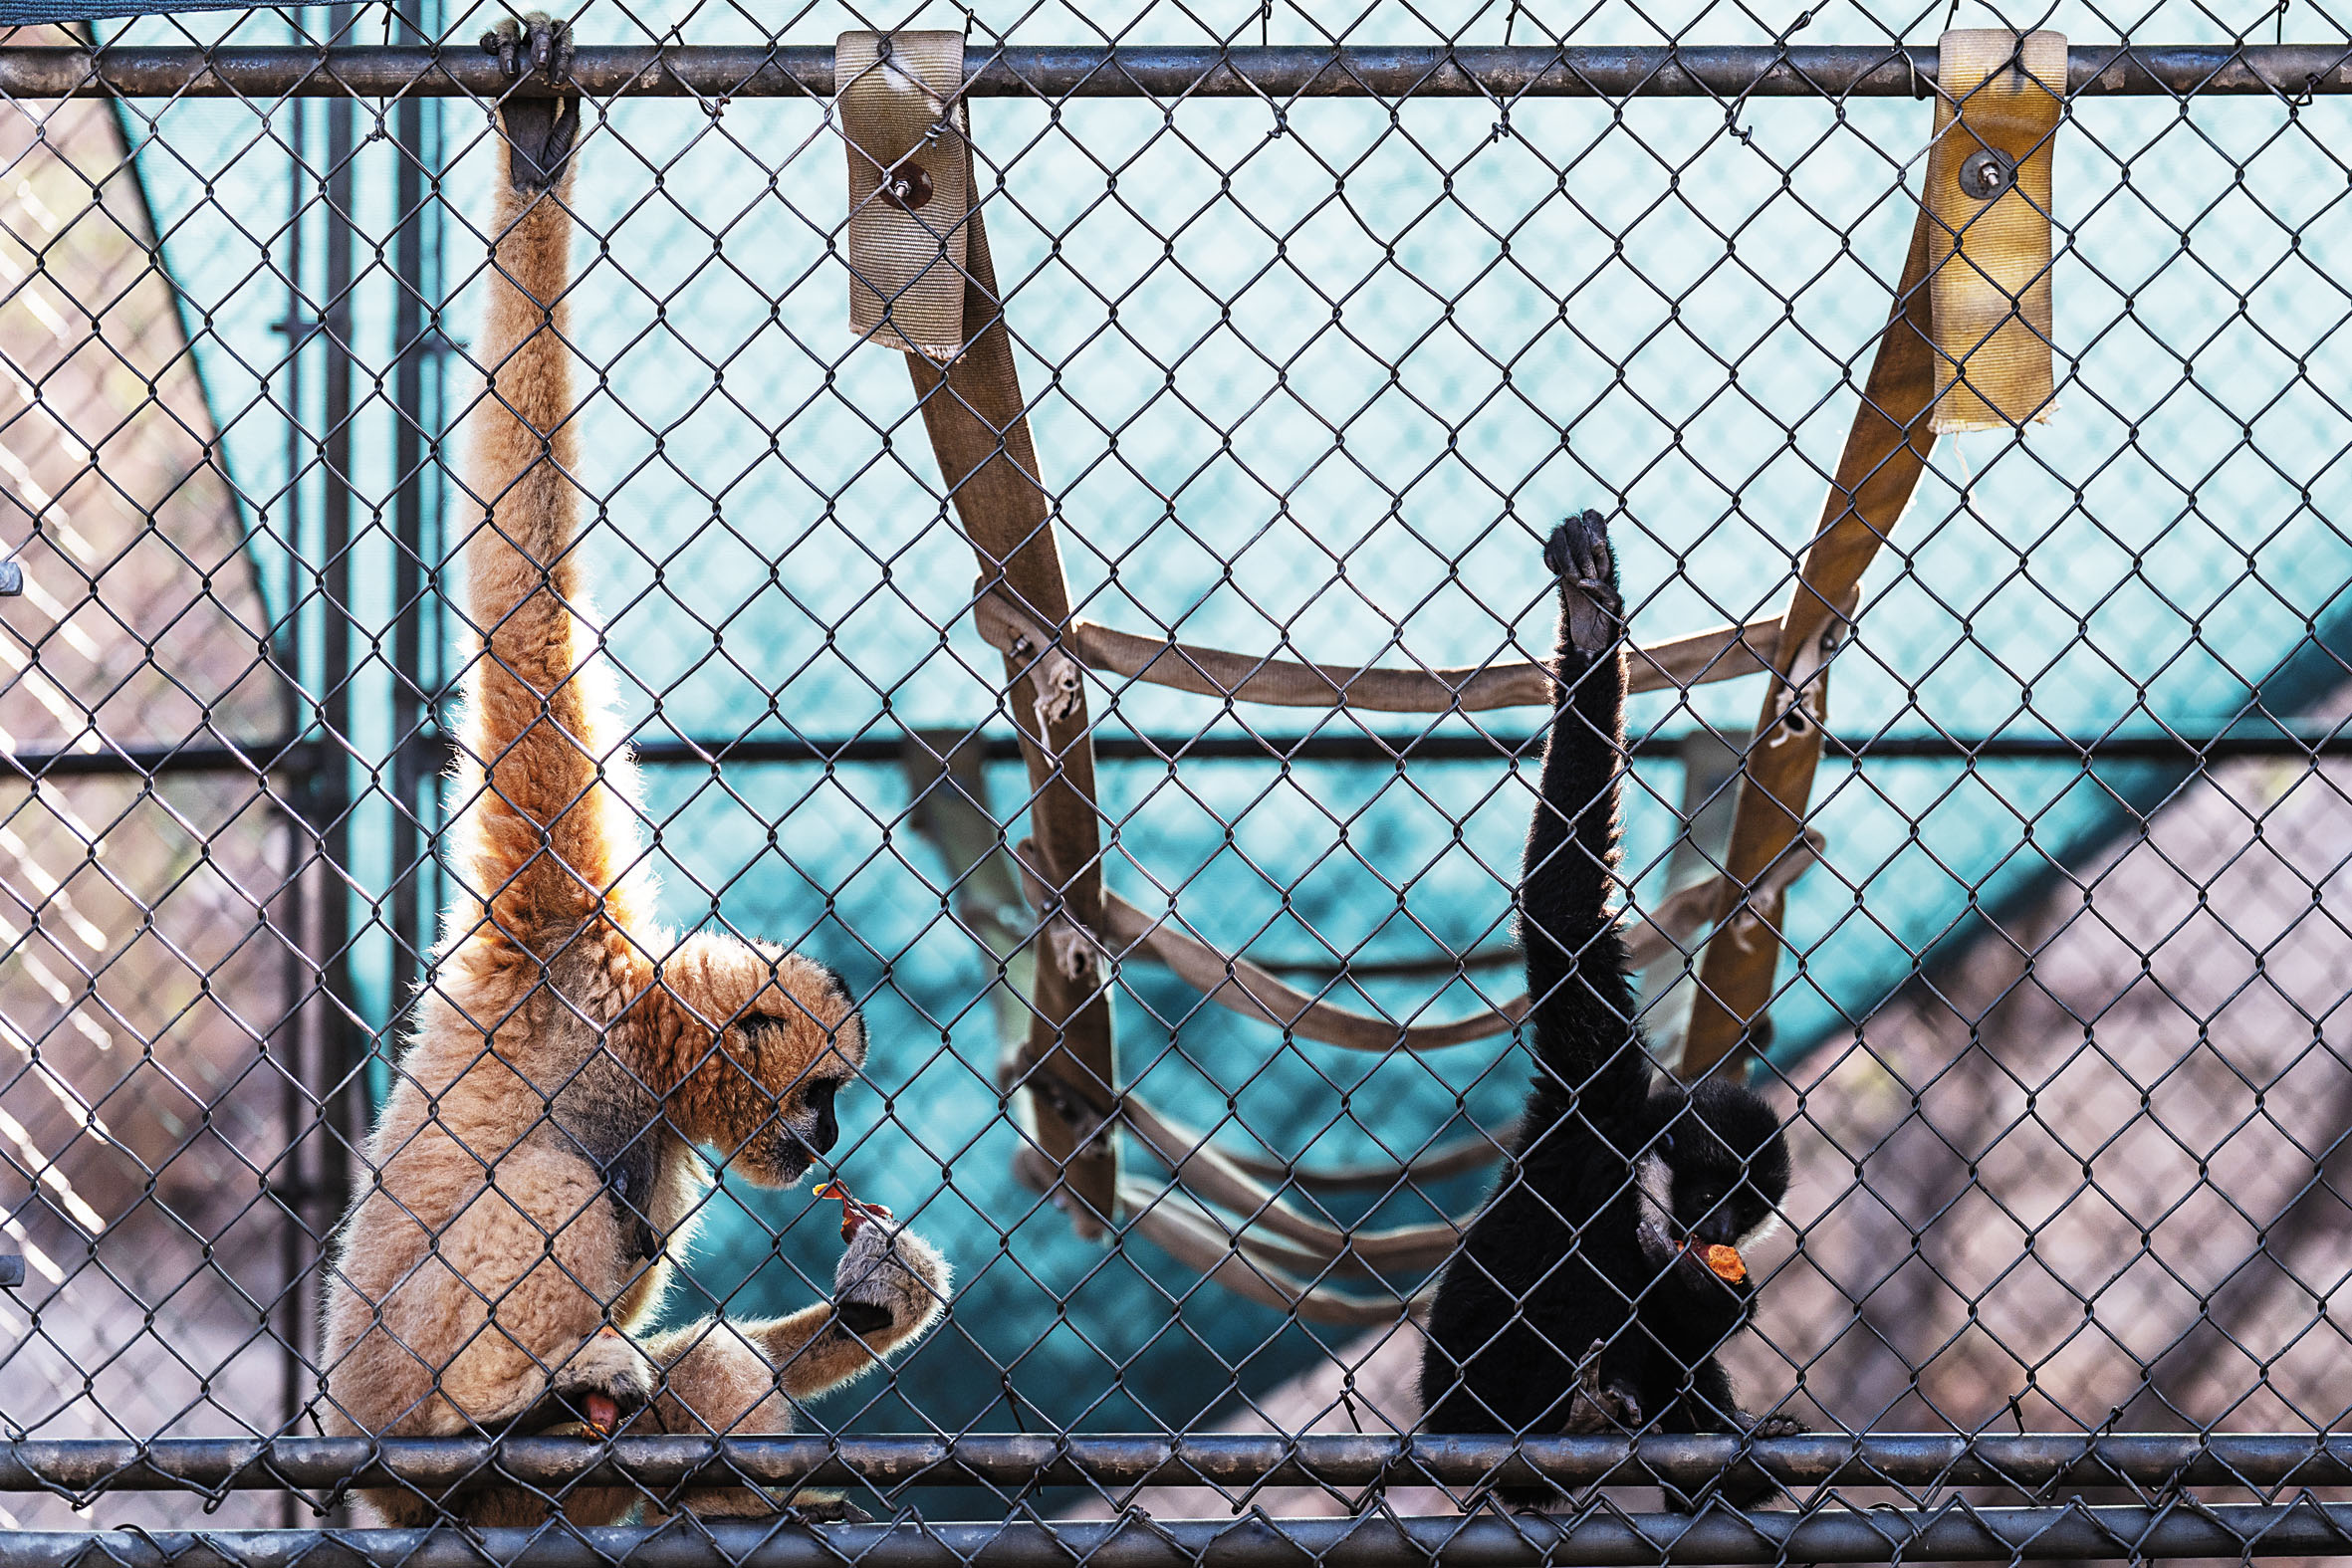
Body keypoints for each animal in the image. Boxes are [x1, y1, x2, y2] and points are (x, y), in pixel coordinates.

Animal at [317, 16, 948, 1527]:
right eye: (823, 1091)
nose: (827, 1145)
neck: (628, 1034)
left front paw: (875, 1298)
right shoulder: (552, 902)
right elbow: (520, 590)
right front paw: (537, 156)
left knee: (698, 1361)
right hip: (397, 1406)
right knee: (559, 1191)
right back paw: (509, 1397)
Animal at [1416, 510, 1801, 1510]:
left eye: (1745, 1214)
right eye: (1708, 1194)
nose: (1713, 1234)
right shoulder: (1593, 1090)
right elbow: (1561, 914)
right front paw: (1592, 621)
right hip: (1484, 1411)